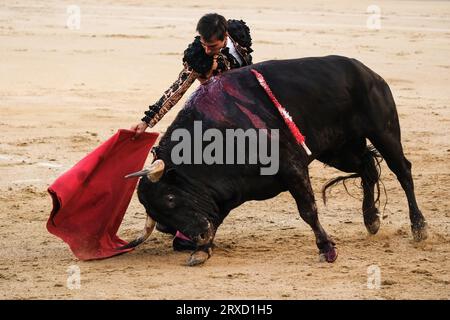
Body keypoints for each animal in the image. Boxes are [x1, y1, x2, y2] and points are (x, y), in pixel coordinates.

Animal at [125, 56, 428, 266]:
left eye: (170, 199)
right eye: (160, 216)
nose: (196, 237)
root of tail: (367, 71)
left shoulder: (292, 168)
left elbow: (308, 210)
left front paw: (327, 249)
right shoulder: (225, 193)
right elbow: (216, 218)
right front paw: (202, 251)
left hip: (383, 131)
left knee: (402, 171)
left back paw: (419, 227)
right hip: (338, 151)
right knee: (366, 166)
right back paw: (371, 219)